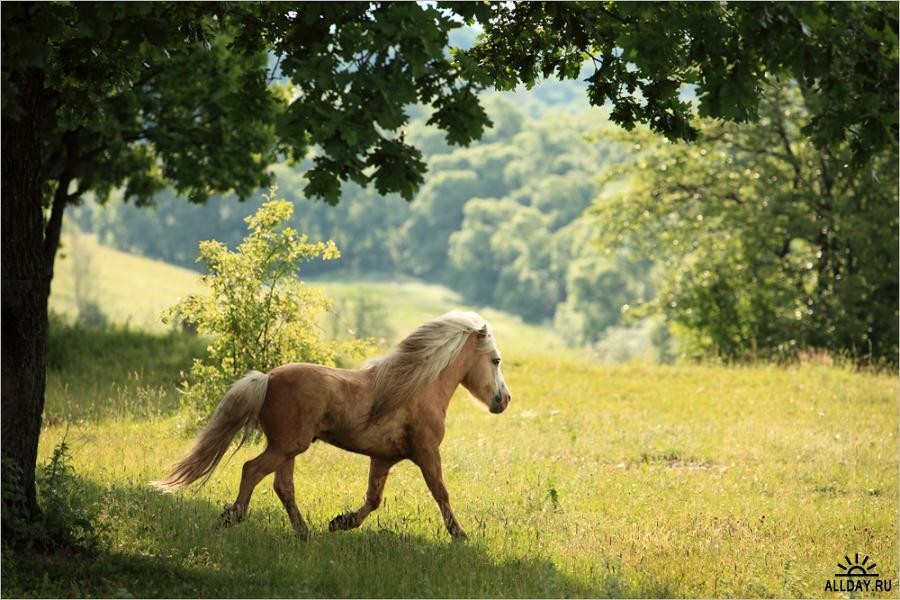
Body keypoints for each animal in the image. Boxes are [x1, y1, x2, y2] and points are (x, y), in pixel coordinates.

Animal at [152, 311, 512, 540]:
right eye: (495, 360)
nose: (504, 400)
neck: (415, 388)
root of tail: (267, 379)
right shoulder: (426, 452)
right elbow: (441, 493)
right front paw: (460, 535)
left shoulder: (383, 458)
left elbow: (373, 499)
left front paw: (340, 522)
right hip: (287, 446)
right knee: (251, 470)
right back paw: (233, 517)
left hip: (287, 449)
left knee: (283, 487)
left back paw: (305, 533)